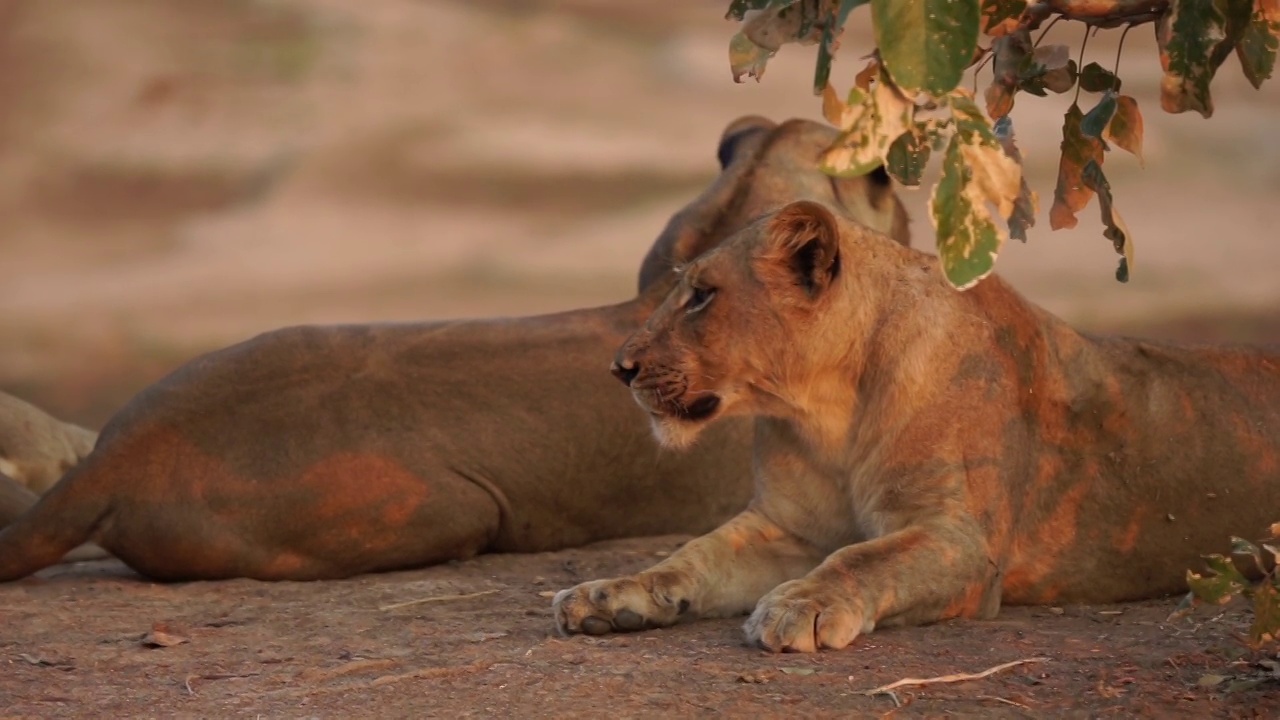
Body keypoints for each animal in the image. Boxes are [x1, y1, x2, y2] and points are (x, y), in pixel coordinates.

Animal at [552, 197, 1280, 650]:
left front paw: (799, 606)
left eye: (702, 296)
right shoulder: (787, 527)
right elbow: (691, 556)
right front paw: (608, 595)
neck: (827, 410)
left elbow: (861, 558)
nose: (619, 367)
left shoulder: (960, 539)